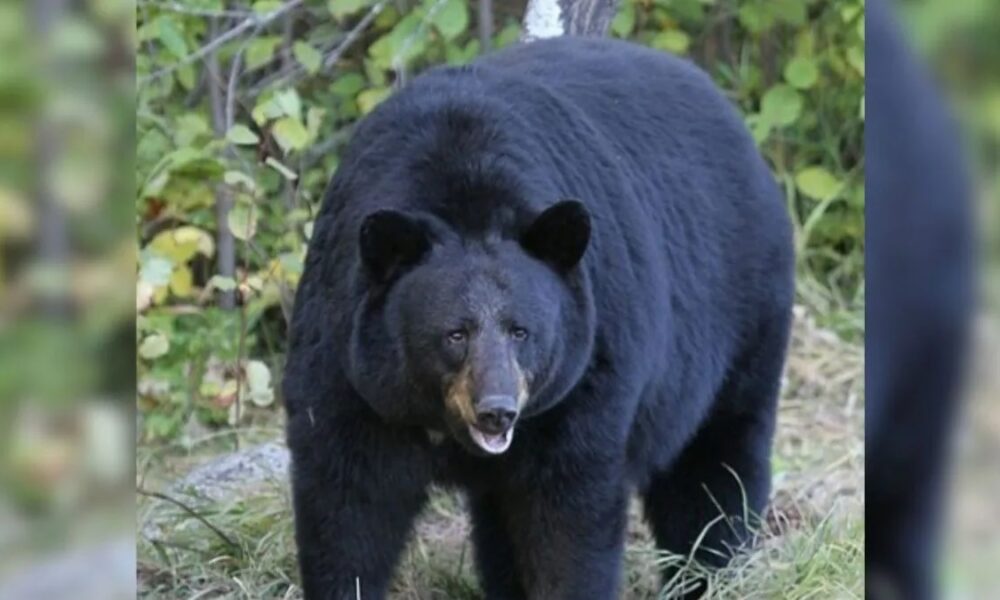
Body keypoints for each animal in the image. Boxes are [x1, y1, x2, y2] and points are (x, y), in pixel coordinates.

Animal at [283, 36, 794, 600]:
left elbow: (568, 517)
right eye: (454, 333)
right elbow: (348, 505)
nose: (497, 410)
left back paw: (709, 574)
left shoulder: (585, 377)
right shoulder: (349, 369)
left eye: (521, 331)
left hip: (741, 317)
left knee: (713, 468)